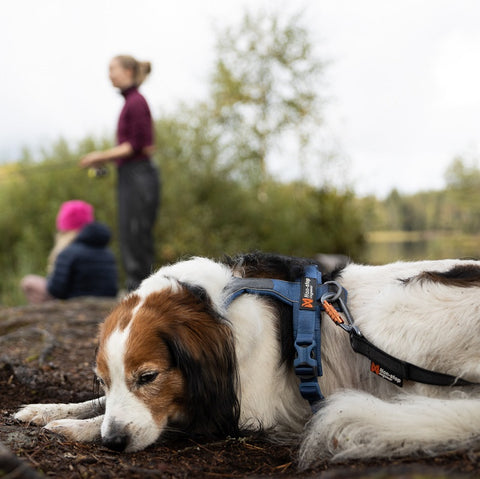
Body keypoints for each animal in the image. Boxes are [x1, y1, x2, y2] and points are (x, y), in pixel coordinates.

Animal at [13, 255, 480, 468]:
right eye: (105, 381)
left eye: (148, 377)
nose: (114, 442)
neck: (220, 310)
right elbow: (94, 404)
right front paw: (46, 409)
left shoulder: (244, 411)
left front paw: (77, 428)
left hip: (394, 315)